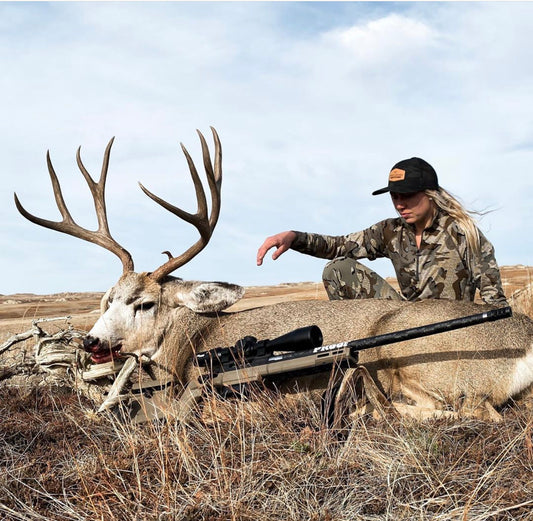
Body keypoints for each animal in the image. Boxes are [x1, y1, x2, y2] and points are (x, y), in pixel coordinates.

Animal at [13, 127, 532, 422]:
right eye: (106, 298)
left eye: (145, 302)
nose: (92, 342)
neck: (191, 342)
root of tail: (524, 339)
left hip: (406, 356)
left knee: (475, 411)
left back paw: (363, 410)